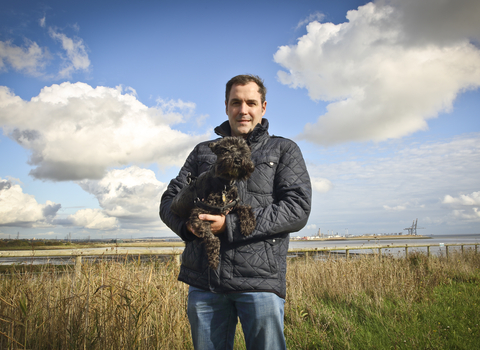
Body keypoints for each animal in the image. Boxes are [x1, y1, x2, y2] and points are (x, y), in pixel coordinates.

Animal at [171, 136, 256, 268]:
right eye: (225, 150)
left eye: (243, 150)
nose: (237, 160)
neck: (224, 184)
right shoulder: (198, 214)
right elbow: (212, 238)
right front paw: (213, 259)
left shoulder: (231, 205)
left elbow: (245, 207)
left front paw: (248, 225)